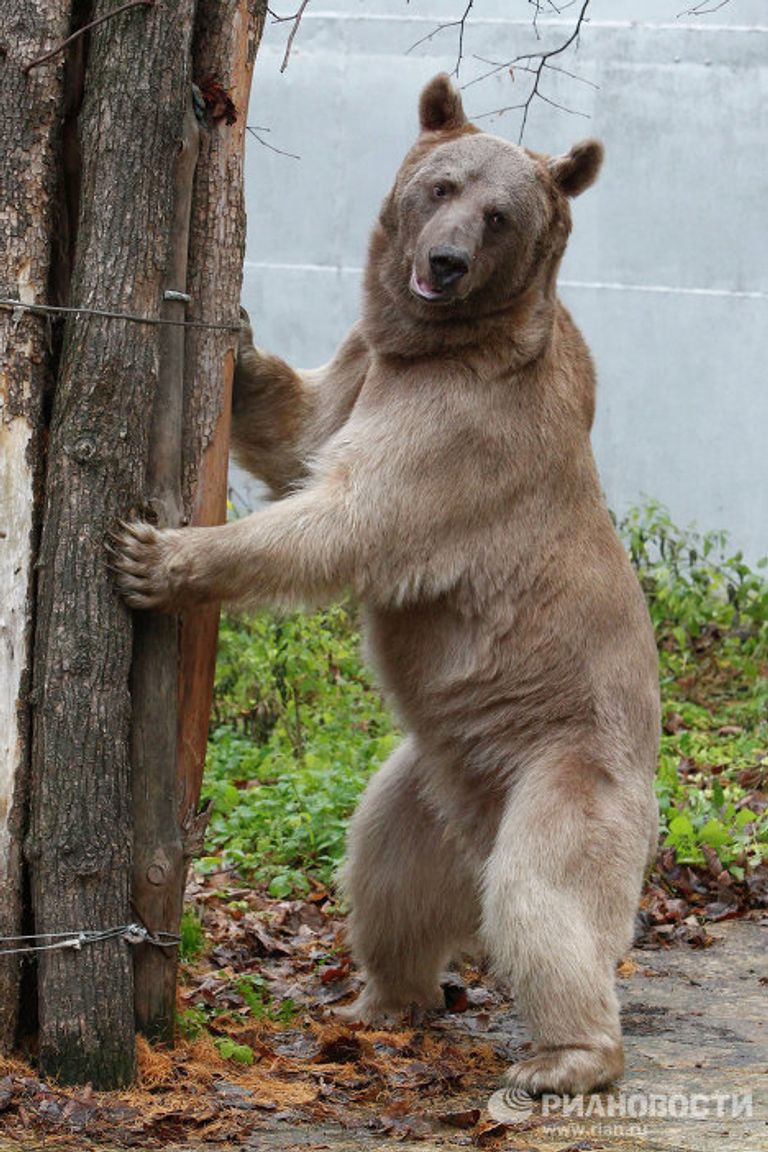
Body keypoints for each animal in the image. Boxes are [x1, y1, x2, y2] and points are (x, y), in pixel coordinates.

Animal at [112, 74, 660, 1096]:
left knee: (545, 898)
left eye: (499, 214)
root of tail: (481, 822)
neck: (436, 343)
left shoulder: (463, 425)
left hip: (569, 769)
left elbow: (343, 515)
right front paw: (237, 335)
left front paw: (156, 555)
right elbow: (300, 430)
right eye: (441, 186)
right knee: (385, 873)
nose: (443, 261)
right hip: (432, 783)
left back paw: (565, 1059)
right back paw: (382, 1000)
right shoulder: (372, 365)